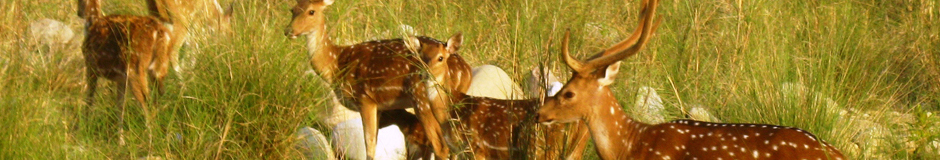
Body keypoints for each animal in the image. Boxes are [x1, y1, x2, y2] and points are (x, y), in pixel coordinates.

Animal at [78, 0, 173, 145]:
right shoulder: (121, 79)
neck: (93, 19)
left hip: (135, 68)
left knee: (146, 102)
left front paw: (85, 129)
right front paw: (120, 140)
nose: (79, 12)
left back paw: (150, 142)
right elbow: (120, 105)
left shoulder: (91, 65)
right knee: (158, 96)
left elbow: (89, 99)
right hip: (160, 68)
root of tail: (160, 32)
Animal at [280, 0, 470, 159]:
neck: (336, 64)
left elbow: (369, 147)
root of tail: (465, 71)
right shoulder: (379, 106)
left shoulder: (365, 99)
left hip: (423, 99)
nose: (288, 31)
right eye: (292, 9)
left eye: (311, 11)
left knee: (441, 146)